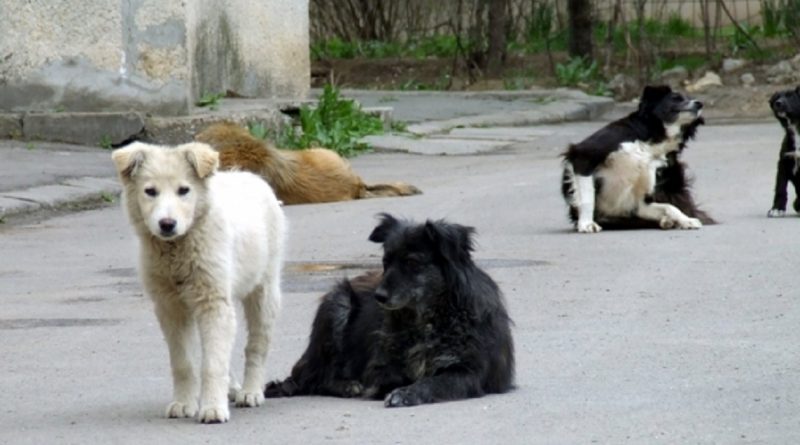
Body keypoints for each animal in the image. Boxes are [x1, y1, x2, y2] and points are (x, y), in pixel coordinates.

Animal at [112, 141, 286, 423]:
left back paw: (250, 392)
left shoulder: (213, 303)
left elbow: (213, 363)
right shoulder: (171, 307)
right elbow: (184, 363)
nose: (167, 224)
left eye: (184, 190)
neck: (177, 249)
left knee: (256, 346)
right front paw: (184, 403)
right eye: (150, 192)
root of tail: (250, 176)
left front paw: (213, 408)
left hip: (264, 291)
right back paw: (232, 388)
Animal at [264, 213, 515, 407]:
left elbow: (433, 382)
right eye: (385, 262)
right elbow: (393, 377)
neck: (429, 317)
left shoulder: (470, 371)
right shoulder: (378, 367)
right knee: (315, 378)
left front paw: (407, 394)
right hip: (339, 304)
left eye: (412, 263)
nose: (378, 297)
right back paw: (347, 386)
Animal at [561, 85, 713, 233]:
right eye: (676, 98)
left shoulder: (638, 203)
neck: (651, 140)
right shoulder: (584, 155)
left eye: (691, 98)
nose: (699, 103)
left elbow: (669, 206)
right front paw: (587, 224)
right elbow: (588, 198)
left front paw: (686, 220)